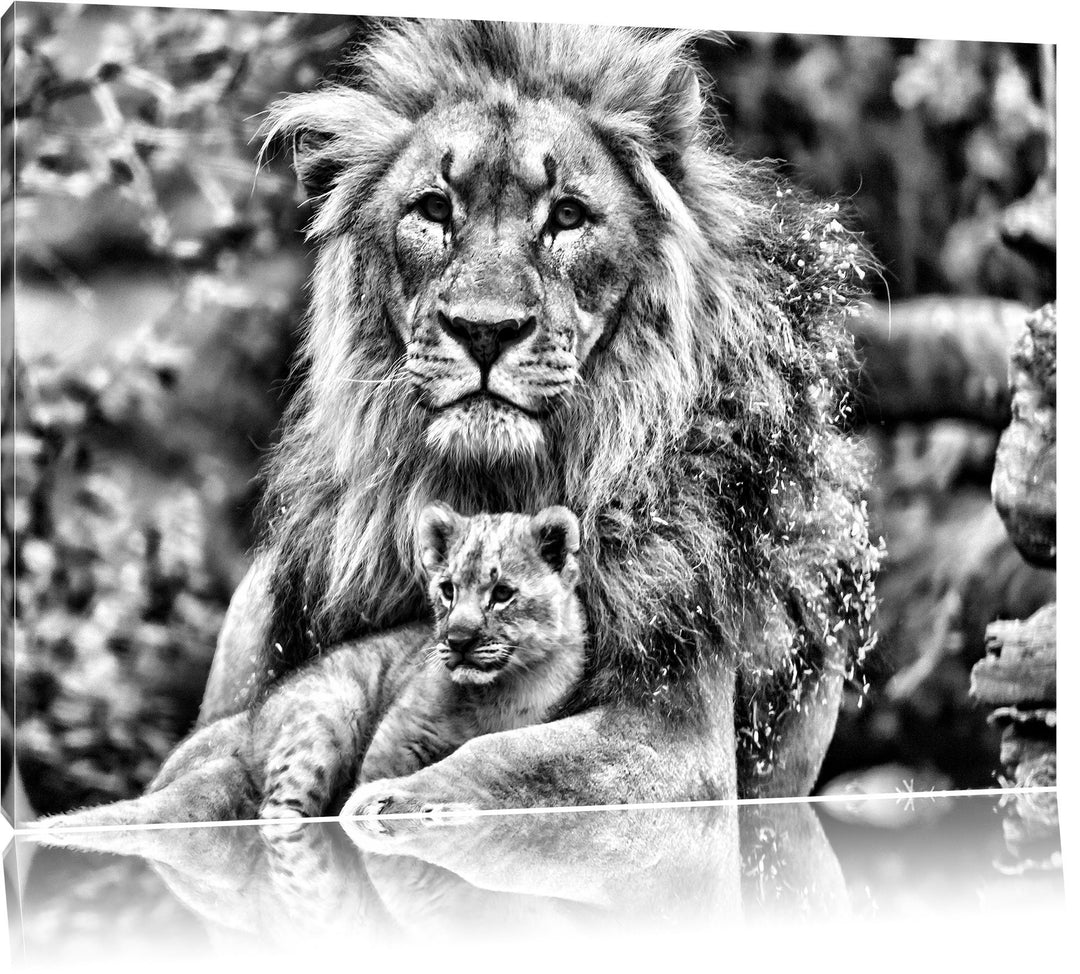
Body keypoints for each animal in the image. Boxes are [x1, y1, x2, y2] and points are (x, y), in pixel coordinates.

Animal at [51, 19, 879, 825]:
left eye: (568, 216)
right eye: (433, 209)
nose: (484, 331)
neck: (489, 484)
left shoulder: (674, 740)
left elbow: (506, 759)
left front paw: (391, 800)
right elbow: (189, 785)